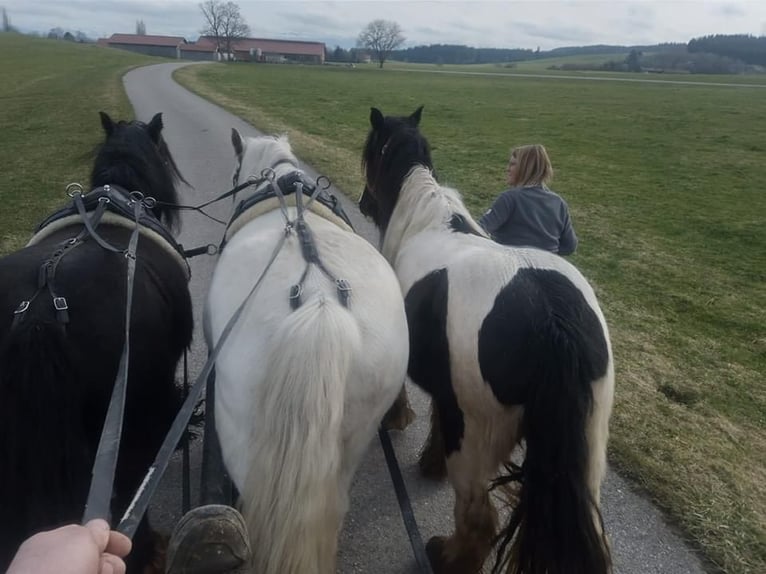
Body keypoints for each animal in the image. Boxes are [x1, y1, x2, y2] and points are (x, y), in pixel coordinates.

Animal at [362, 106, 616, 572]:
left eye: (373, 150)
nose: (364, 203)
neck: (424, 214)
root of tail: (553, 323)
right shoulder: (448, 391)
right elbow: (439, 416)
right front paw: (430, 459)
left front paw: (397, 420)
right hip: (588, 452)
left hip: (477, 442)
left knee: (478, 516)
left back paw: (445, 556)